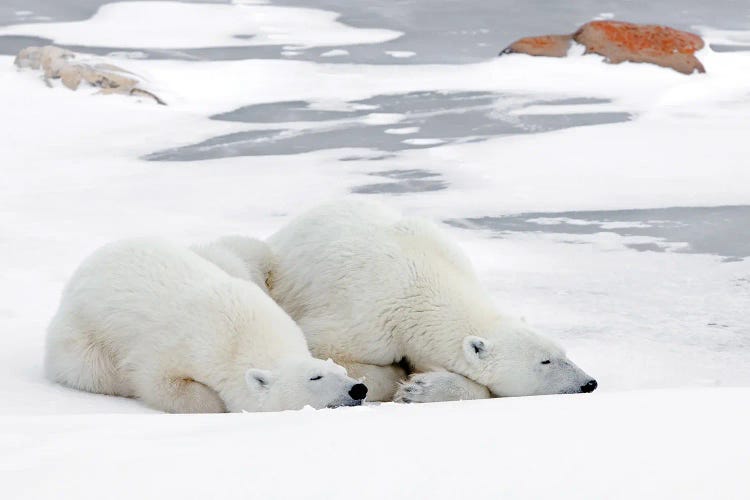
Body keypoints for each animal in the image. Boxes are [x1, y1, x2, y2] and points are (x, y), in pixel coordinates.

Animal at [268, 199, 596, 402]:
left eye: (564, 352)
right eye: (545, 360)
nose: (589, 382)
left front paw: (421, 388)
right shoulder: (364, 319)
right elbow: (327, 350)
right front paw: (403, 382)